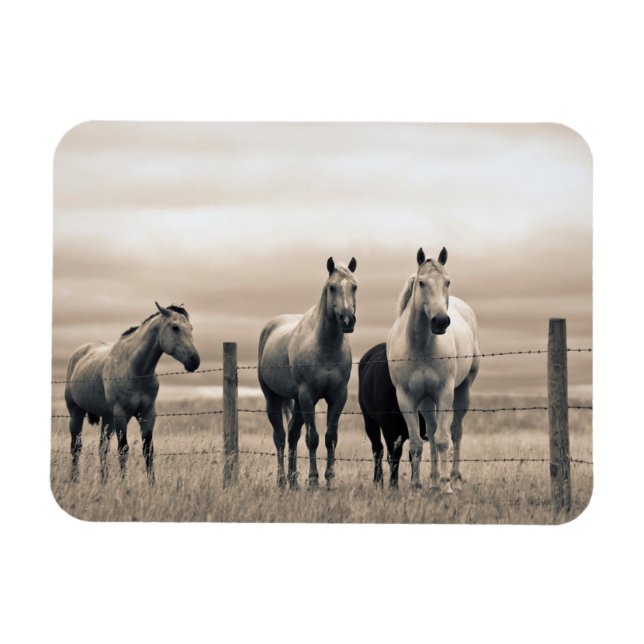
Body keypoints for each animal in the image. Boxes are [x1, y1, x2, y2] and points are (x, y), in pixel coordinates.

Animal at [64, 303, 200, 483]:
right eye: (175, 327)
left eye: (191, 328)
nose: (194, 360)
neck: (135, 369)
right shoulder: (122, 415)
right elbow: (123, 449)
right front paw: (123, 483)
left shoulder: (148, 414)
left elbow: (148, 450)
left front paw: (152, 484)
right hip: (76, 414)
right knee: (76, 447)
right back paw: (74, 480)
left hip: (107, 418)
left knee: (102, 448)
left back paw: (104, 481)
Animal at [258, 257, 358, 489]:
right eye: (332, 287)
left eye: (354, 286)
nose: (347, 320)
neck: (325, 346)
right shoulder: (307, 395)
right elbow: (312, 438)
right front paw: (313, 480)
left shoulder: (338, 396)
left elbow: (330, 437)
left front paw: (329, 480)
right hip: (274, 398)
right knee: (280, 436)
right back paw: (282, 480)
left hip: (297, 402)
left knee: (293, 434)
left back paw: (293, 481)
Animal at [358, 342, 428, 487]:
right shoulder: (389, 428)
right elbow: (394, 455)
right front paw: (393, 485)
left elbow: (413, 454)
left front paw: (415, 483)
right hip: (369, 421)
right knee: (378, 449)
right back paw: (378, 481)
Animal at [386, 247, 479, 493]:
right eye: (421, 283)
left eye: (447, 281)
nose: (440, 321)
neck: (420, 348)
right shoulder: (407, 398)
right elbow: (417, 443)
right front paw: (416, 486)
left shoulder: (444, 392)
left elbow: (443, 440)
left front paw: (447, 487)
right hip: (427, 401)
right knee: (431, 428)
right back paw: (434, 481)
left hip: (462, 391)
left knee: (455, 432)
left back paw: (453, 479)